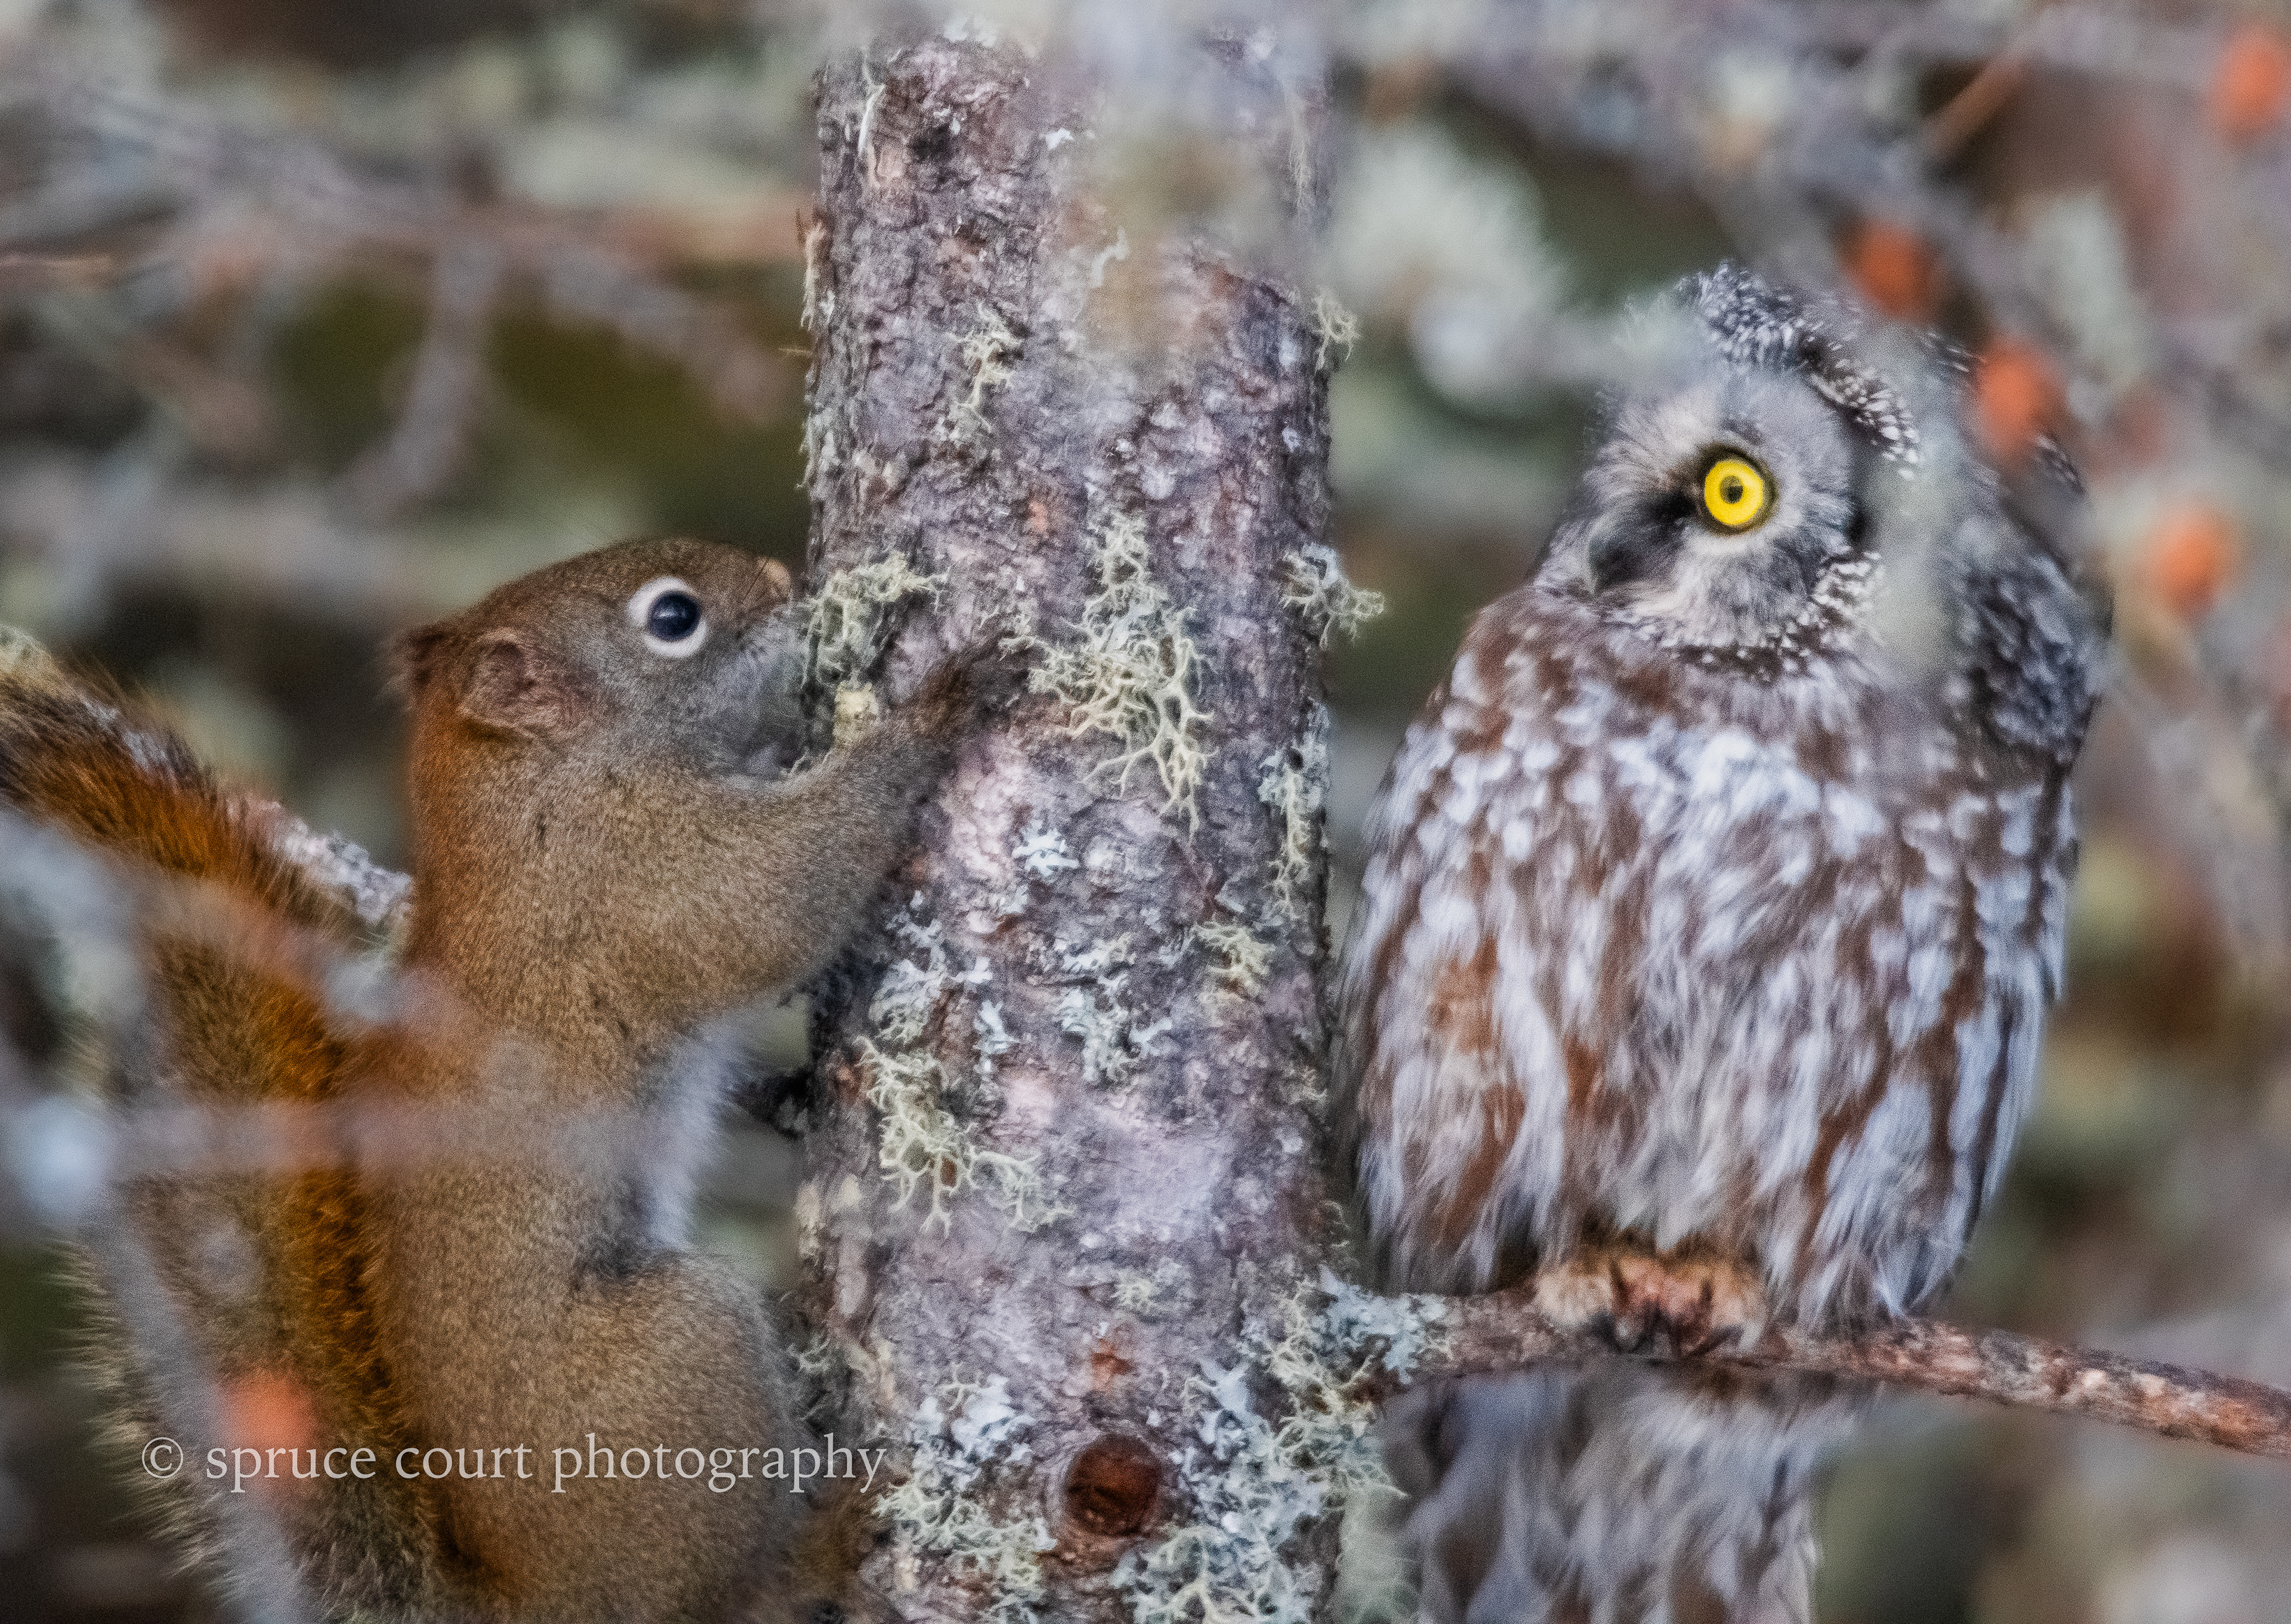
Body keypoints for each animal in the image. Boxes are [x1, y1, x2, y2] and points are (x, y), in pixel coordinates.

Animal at [0, 536, 1010, 1622]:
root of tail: (528, 1600)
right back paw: (821, 1547)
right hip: (674, 1366)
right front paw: (942, 707)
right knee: (731, 1592)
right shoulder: (642, 878)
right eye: (673, 618)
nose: (787, 582)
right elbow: (787, 894)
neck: (527, 791)